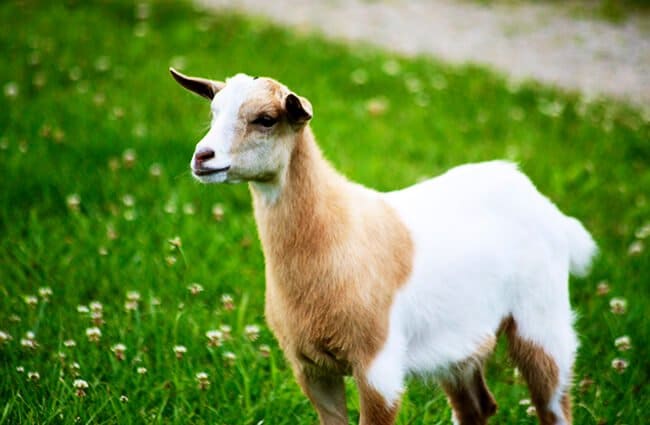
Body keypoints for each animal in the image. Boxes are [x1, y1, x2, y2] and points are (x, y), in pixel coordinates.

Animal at [170, 68, 597, 425]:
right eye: (214, 112)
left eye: (266, 119)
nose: (202, 157)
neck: (336, 230)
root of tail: (538, 199)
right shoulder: (311, 369)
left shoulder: (379, 368)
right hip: (461, 339)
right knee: (477, 407)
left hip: (542, 319)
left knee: (553, 405)